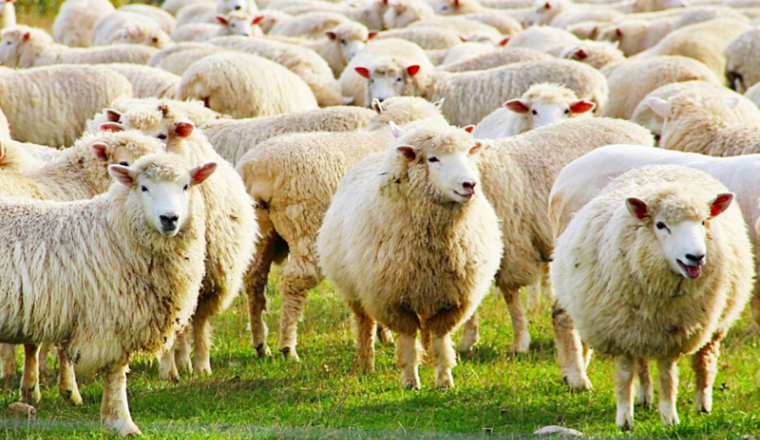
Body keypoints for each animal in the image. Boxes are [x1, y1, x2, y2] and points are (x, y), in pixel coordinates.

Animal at [0, 152, 215, 436]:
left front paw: (110, 418)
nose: (169, 219)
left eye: (186, 186)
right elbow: (116, 374)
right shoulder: (111, 321)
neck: (116, 231)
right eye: (143, 187)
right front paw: (122, 423)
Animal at [97, 101, 257, 380]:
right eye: (123, 132)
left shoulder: (210, 283)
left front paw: (203, 366)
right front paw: (168, 369)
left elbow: (200, 325)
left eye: (162, 135)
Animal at [236, 97, 447, 360]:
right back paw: (288, 347)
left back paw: (260, 344)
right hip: (306, 225)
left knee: (254, 280)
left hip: (261, 230)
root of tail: (257, 168)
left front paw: (383, 335)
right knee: (294, 281)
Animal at [317, 122, 504, 390]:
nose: (470, 184)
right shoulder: (392, 300)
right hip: (356, 291)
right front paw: (410, 381)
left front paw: (444, 380)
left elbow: (439, 338)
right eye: (433, 158)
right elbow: (406, 339)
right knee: (364, 325)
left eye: (467, 153)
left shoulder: (454, 299)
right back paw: (366, 364)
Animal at [551, 164, 753, 428]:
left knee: (704, 360)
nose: (696, 257)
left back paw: (702, 404)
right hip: (639, 326)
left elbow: (667, 376)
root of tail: (666, 166)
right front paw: (625, 419)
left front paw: (669, 417)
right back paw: (643, 397)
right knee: (641, 362)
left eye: (703, 221)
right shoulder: (621, 331)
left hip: (713, 322)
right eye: (660, 225)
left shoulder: (675, 333)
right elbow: (625, 374)